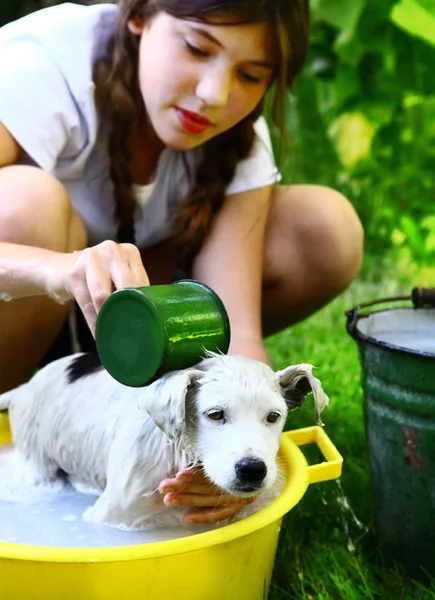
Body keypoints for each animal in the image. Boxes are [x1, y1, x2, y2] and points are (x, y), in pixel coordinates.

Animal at [0, 352, 328, 528]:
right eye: (215, 414)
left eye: (273, 417)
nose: (252, 469)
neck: (177, 454)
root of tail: (24, 387)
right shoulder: (111, 516)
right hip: (36, 463)